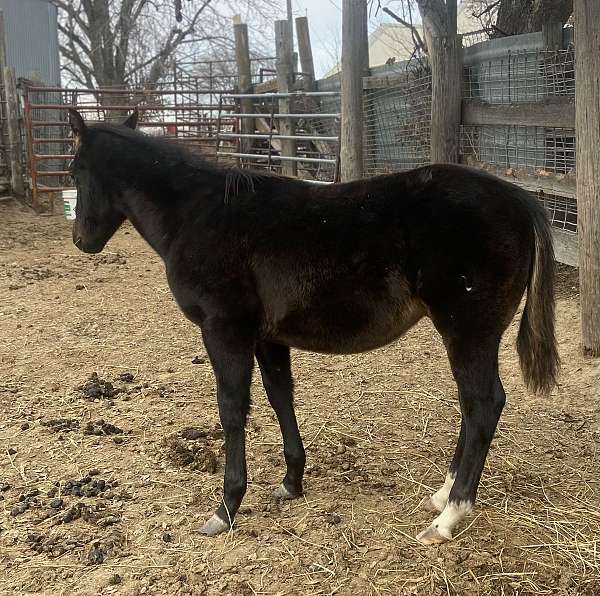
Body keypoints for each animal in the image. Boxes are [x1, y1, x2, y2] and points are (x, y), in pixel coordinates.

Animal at [68, 110, 560, 544]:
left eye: (74, 170)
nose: (81, 241)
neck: (197, 215)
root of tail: (520, 200)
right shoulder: (266, 337)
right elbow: (279, 396)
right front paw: (291, 481)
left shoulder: (223, 330)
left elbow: (232, 411)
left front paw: (225, 509)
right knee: (471, 405)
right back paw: (440, 497)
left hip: (469, 331)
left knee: (483, 404)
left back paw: (449, 517)